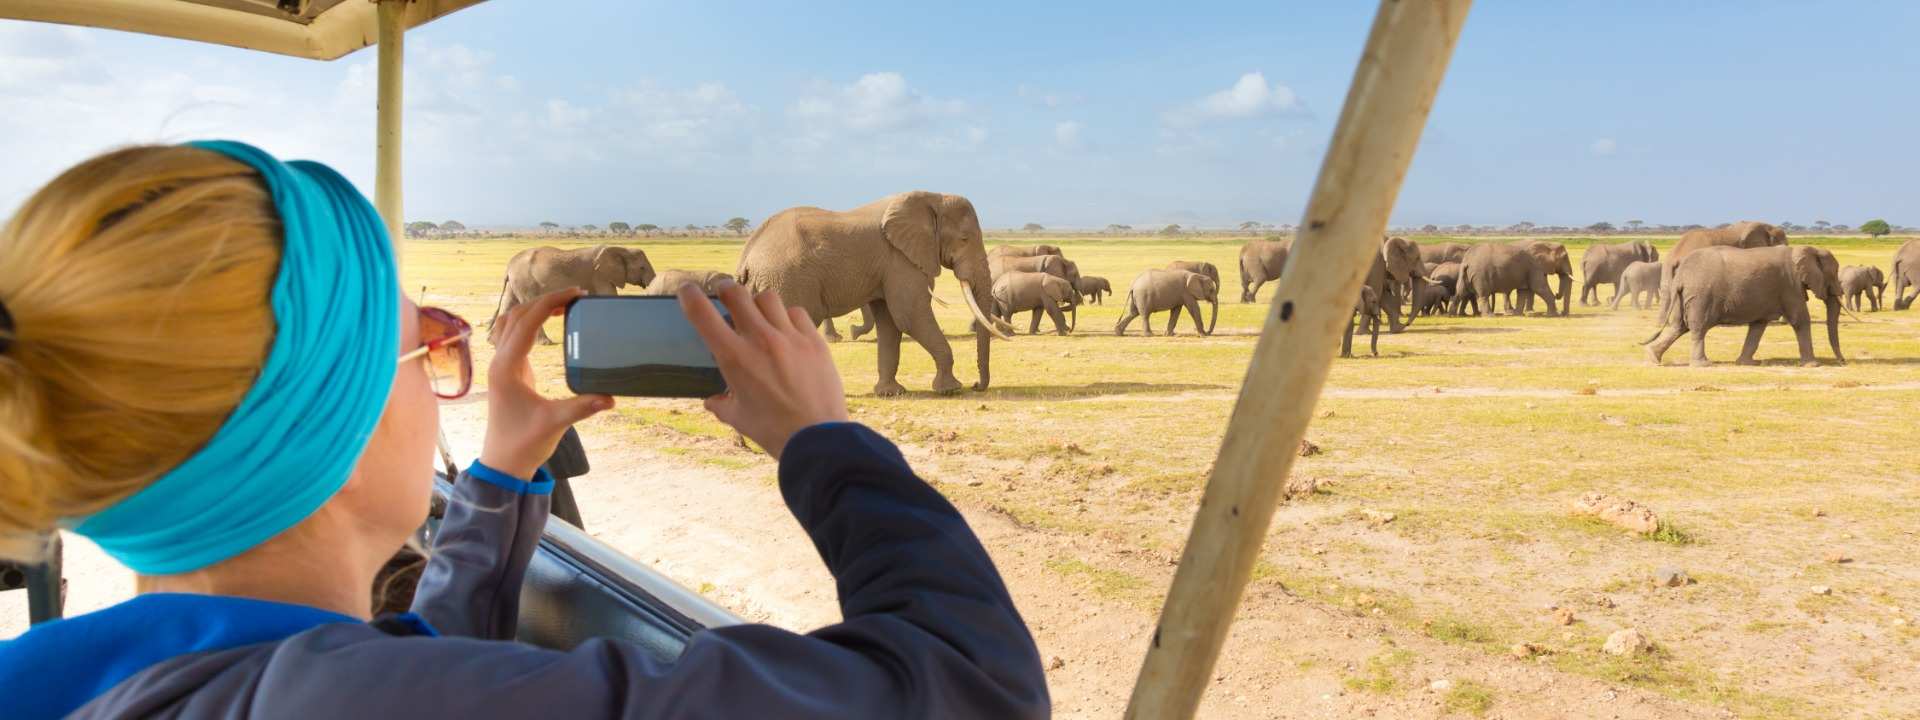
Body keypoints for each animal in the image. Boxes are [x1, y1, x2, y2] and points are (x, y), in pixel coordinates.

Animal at [483, 245, 656, 347]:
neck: (622, 249)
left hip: (516, 283)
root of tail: (509, 266)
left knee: (508, 304)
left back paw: (493, 342)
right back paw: (545, 343)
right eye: (642, 268)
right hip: (526, 281)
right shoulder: (600, 276)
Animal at [733, 189, 1013, 397]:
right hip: (786, 282)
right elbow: (910, 316)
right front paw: (950, 389)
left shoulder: (888, 265)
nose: (976, 386)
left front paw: (891, 393)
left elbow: (890, 323)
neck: (933, 197)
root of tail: (747, 257)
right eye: (965, 239)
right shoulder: (899, 260)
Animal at [1643, 247, 1835, 368]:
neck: (1806, 249)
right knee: (1698, 328)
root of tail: (1681, 276)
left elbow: (1758, 324)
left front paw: (1748, 363)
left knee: (1678, 327)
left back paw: (1653, 358)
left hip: (1684, 296)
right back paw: (1703, 365)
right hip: (1701, 296)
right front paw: (1814, 365)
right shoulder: (1790, 285)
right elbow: (1800, 319)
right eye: (1833, 276)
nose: (1840, 361)